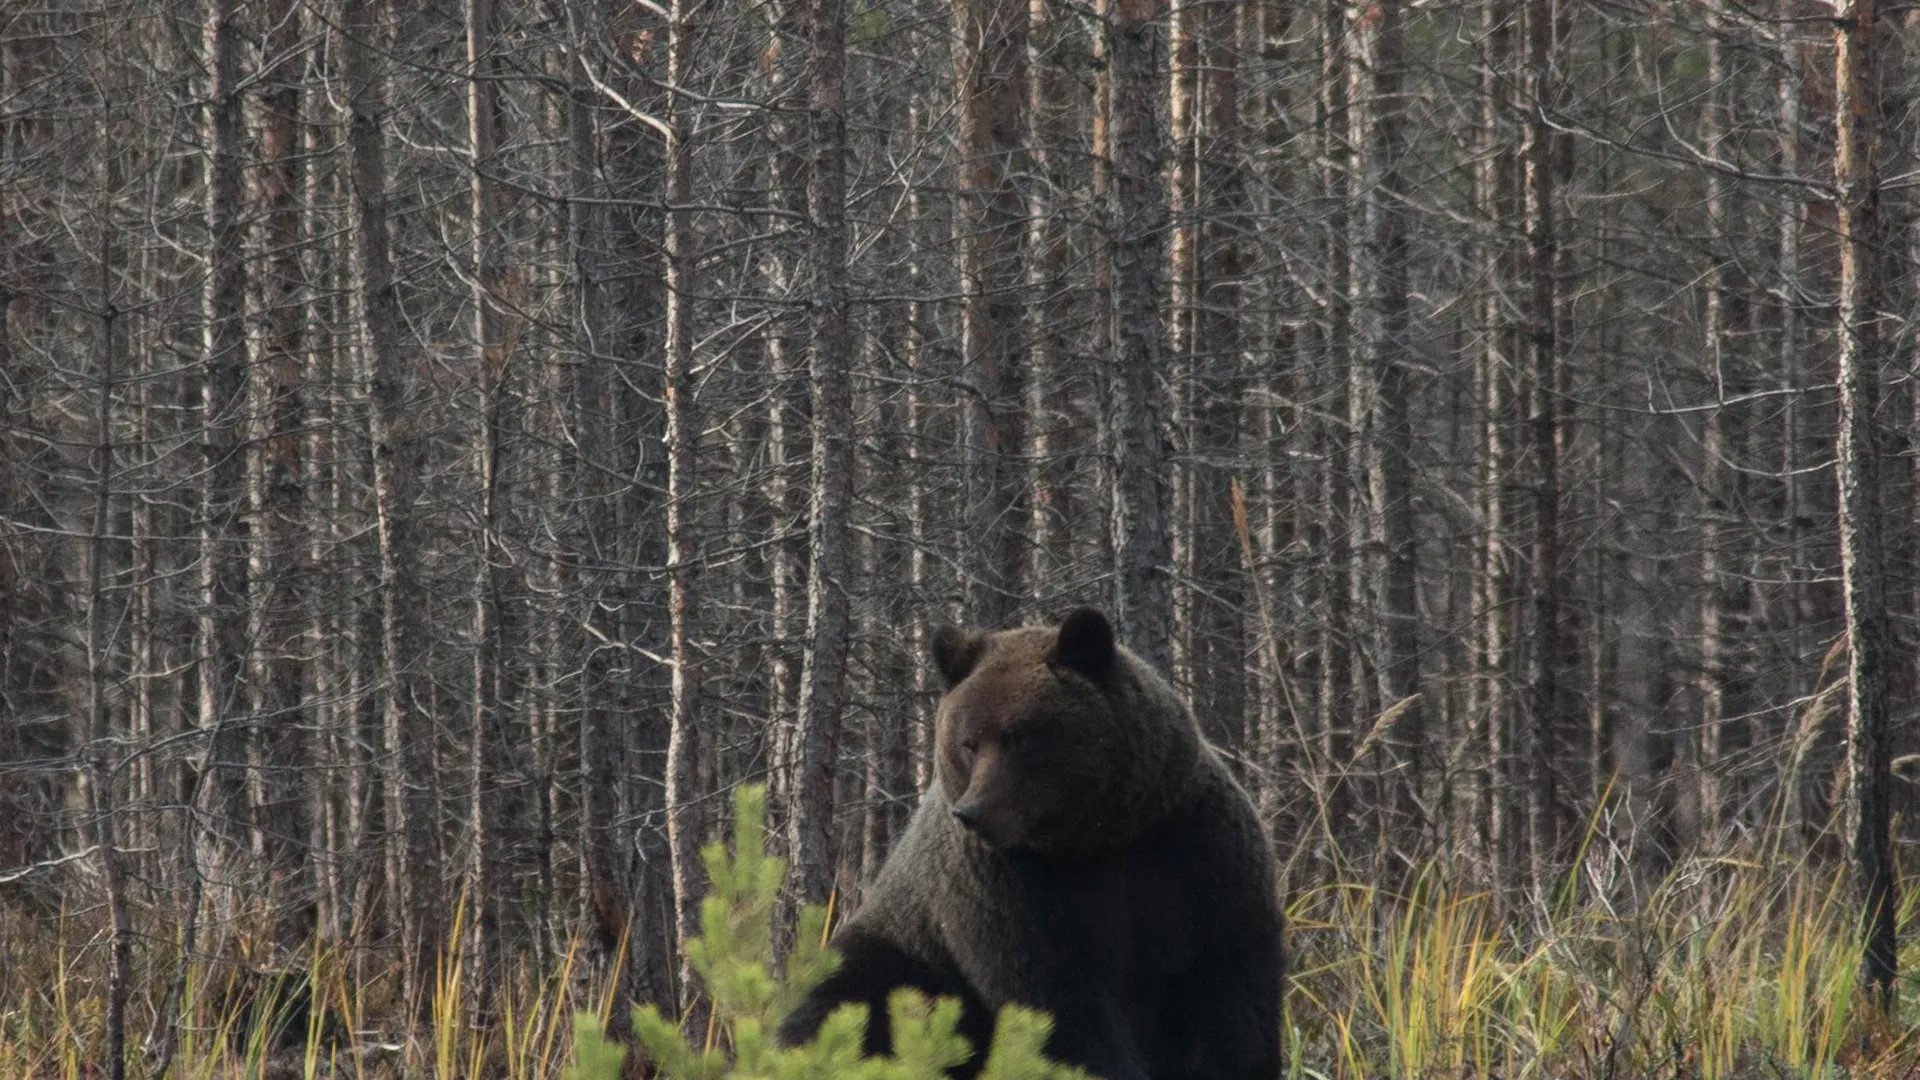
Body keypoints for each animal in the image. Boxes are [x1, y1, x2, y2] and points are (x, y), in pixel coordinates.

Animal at [771, 607, 1282, 1076]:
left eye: (1018, 737)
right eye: (968, 742)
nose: (971, 813)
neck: (1097, 837)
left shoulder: (1192, 851)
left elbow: (1232, 1000)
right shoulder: (1009, 885)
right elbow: (1057, 997)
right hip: (905, 955)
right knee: (843, 998)